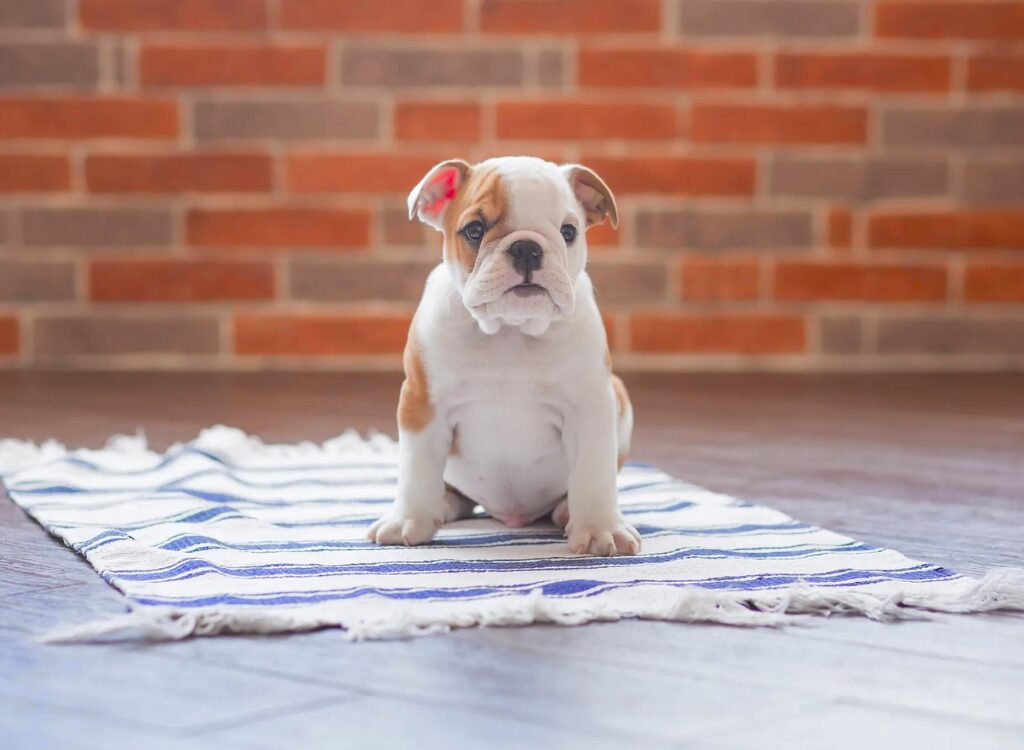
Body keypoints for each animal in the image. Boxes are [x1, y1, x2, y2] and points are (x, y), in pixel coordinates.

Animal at [368, 156, 638, 557]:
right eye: (474, 230)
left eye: (569, 231)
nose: (526, 247)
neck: (511, 330)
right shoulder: (422, 403)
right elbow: (416, 470)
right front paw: (407, 520)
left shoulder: (591, 406)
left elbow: (594, 475)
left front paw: (600, 529)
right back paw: (442, 503)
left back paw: (565, 510)